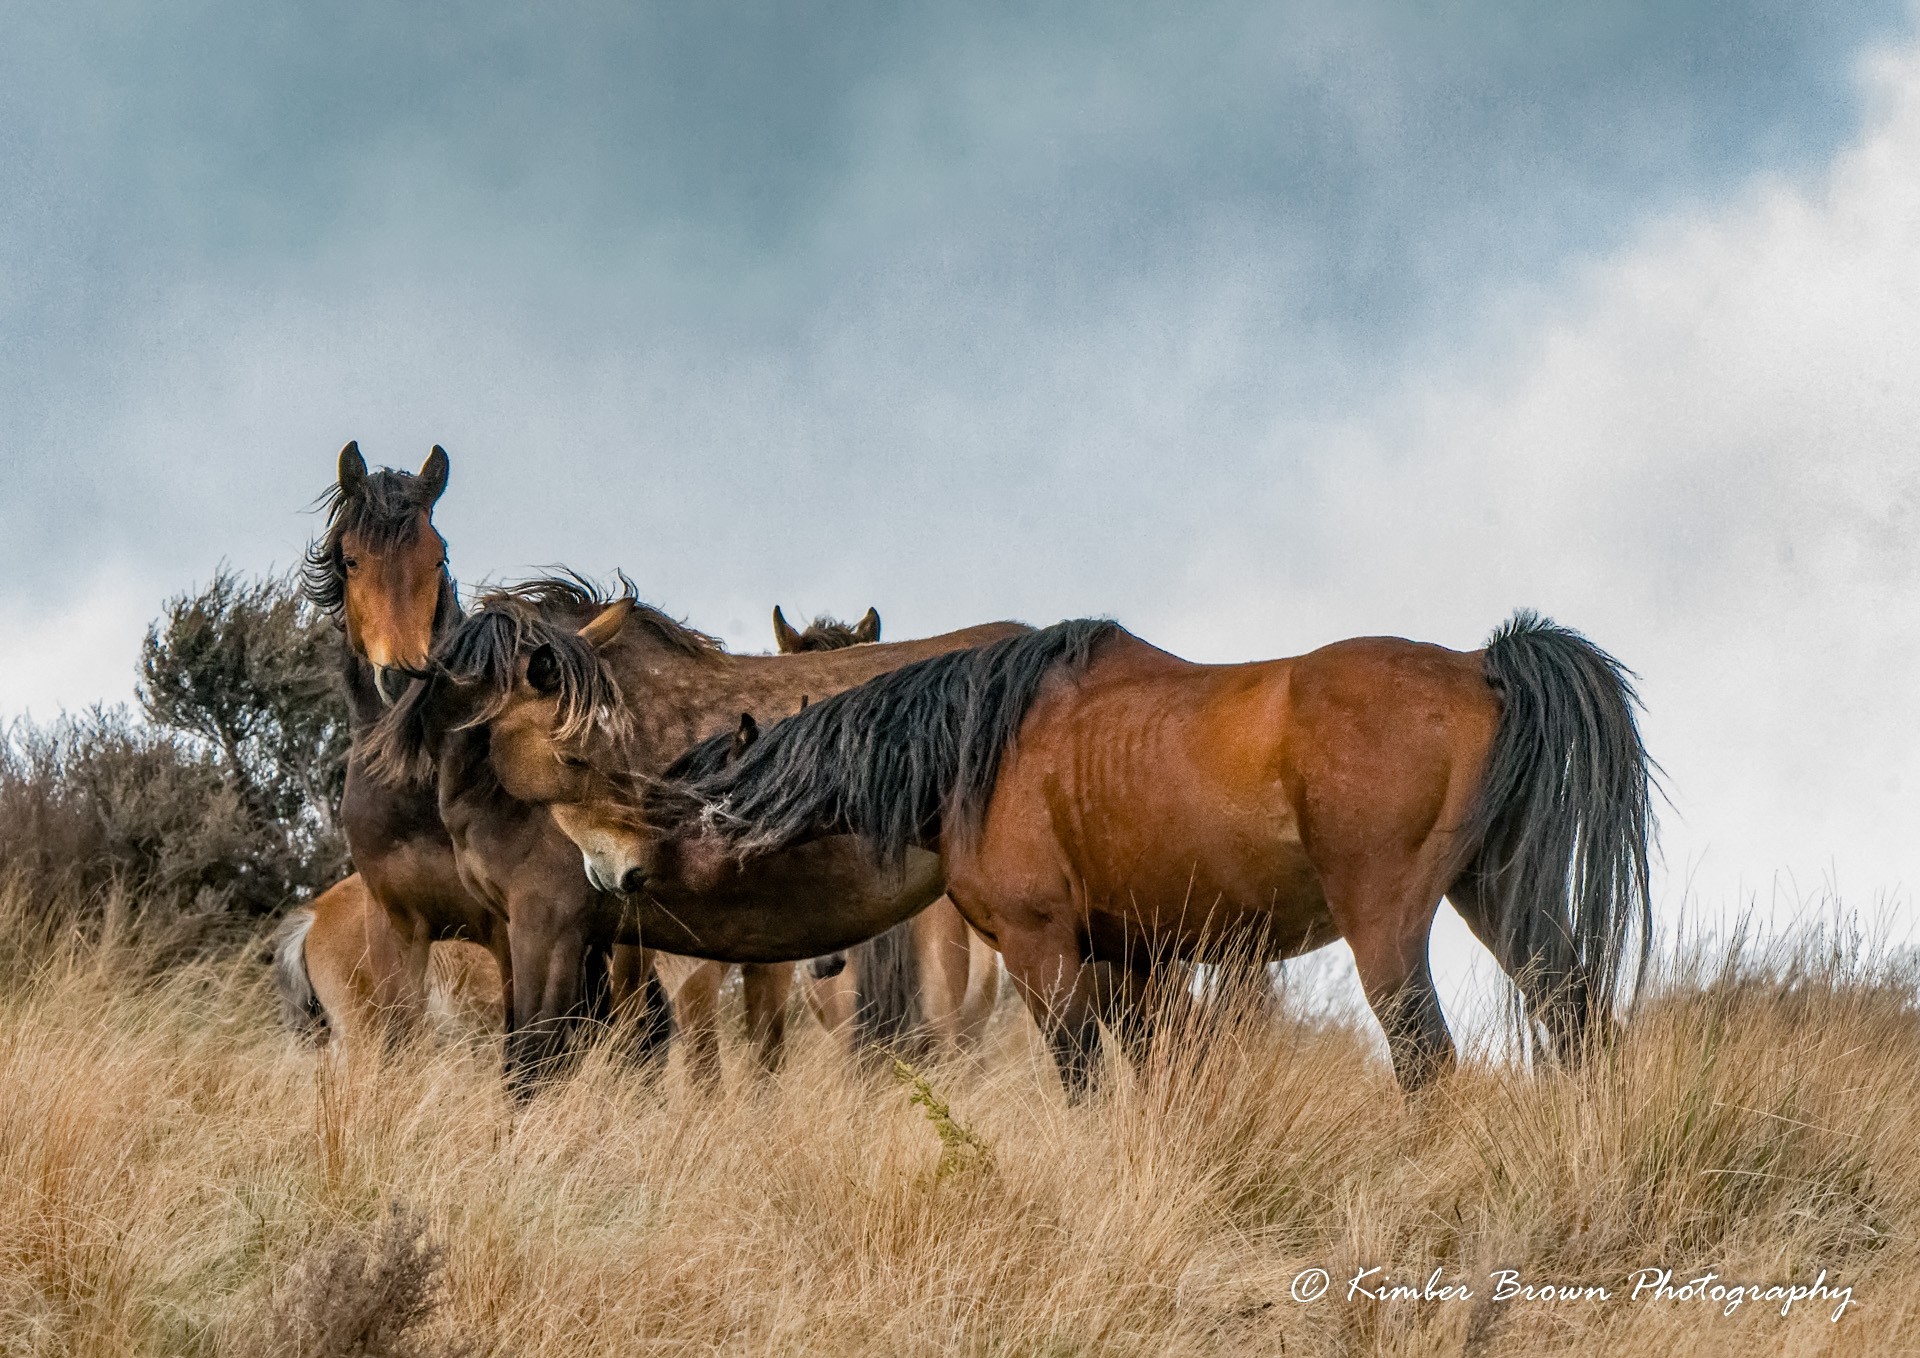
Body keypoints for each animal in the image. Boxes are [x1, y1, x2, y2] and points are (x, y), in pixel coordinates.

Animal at [595, 614, 1651, 1091]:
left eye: (680, 804)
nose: (608, 873)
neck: (981, 749)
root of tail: (1483, 664)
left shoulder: (1046, 956)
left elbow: (1081, 1081)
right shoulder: (1131, 961)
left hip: (1387, 927)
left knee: (1427, 1056)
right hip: (1503, 896)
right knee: (1574, 1014)